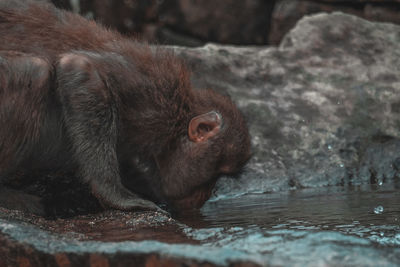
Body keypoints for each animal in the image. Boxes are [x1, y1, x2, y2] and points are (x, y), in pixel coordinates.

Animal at [0, 0, 250, 214]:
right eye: (215, 174)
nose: (206, 196)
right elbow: (80, 68)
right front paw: (116, 195)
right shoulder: (153, 91)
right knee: (36, 71)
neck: (178, 114)